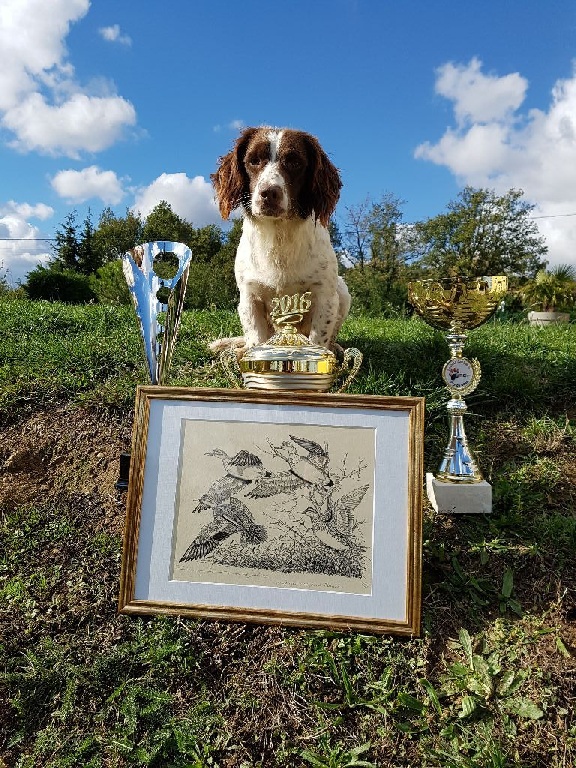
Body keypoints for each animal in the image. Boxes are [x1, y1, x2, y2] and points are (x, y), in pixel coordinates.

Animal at [209, 127, 348, 356]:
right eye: (254, 161)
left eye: (294, 162)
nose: (269, 193)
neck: (278, 236)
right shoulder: (249, 297)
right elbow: (255, 341)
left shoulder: (326, 297)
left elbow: (319, 341)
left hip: (342, 290)